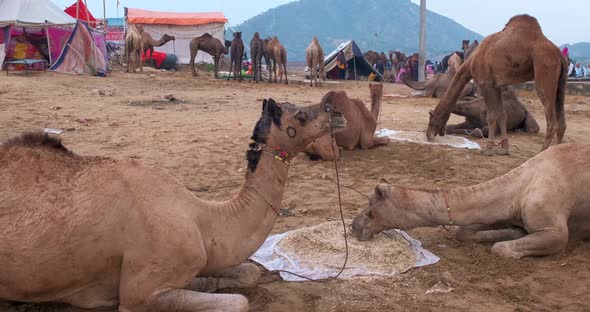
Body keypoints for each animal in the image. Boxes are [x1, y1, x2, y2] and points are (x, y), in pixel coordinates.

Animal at [0, 99, 346, 310]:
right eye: (301, 115)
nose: (337, 112)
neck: (201, 218)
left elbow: (249, 272)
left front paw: (207, 281)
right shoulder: (140, 293)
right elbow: (239, 301)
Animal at [354, 143, 590, 258]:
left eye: (371, 208)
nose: (353, 226)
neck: (518, 190)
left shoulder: (554, 230)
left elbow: (500, 249)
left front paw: (514, 236)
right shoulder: (503, 212)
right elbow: (463, 232)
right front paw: (515, 231)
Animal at [428, 14, 572, 155]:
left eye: (432, 119)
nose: (428, 135)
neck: (471, 63)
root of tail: (560, 56)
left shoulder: (484, 83)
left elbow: (491, 117)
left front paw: (488, 149)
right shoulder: (496, 85)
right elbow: (502, 115)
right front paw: (504, 149)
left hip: (545, 71)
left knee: (552, 122)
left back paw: (541, 152)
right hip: (561, 82)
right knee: (562, 123)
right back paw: (556, 151)